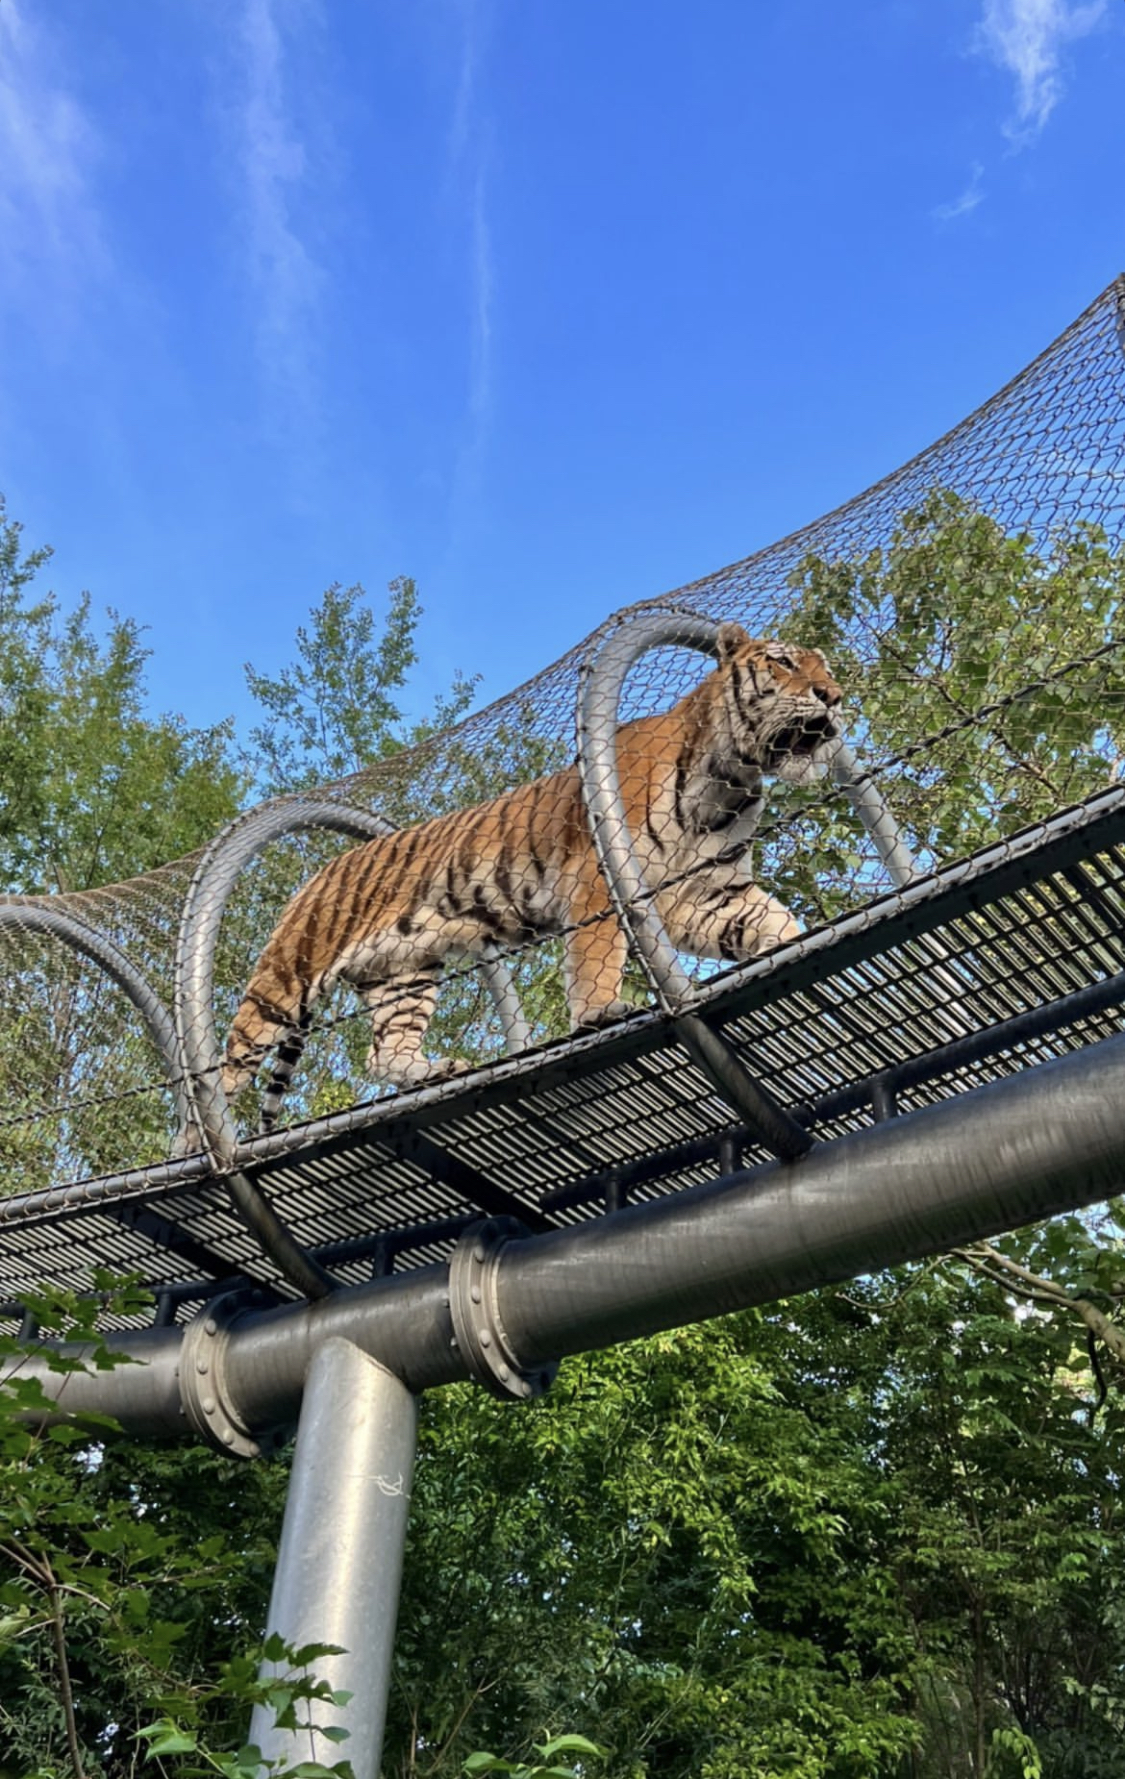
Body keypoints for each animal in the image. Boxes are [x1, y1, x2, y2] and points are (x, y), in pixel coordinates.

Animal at [221, 626, 836, 1124]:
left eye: (825, 666)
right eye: (783, 662)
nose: (833, 696)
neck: (729, 779)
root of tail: (315, 874)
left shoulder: (706, 892)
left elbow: (772, 920)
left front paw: (795, 951)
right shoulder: (596, 879)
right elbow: (596, 956)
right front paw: (599, 1014)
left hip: (404, 975)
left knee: (385, 1052)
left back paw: (435, 1070)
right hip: (286, 979)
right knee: (228, 1065)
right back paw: (206, 1143)